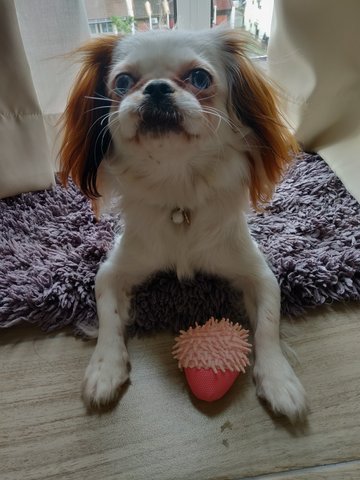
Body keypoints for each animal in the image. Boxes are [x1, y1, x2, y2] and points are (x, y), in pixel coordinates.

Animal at [59, 28, 306, 422]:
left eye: (200, 78)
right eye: (123, 82)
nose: (157, 88)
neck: (176, 186)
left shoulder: (258, 273)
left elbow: (269, 319)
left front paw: (279, 380)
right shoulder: (113, 271)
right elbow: (107, 312)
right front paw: (105, 368)